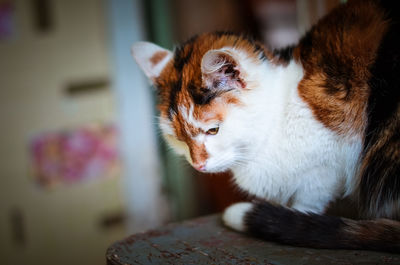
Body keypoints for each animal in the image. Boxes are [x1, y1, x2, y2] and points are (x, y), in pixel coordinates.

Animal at [133, 0, 398, 252]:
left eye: (213, 130)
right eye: (177, 138)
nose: (198, 165)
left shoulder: (327, 166)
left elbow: (309, 200)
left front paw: (291, 217)